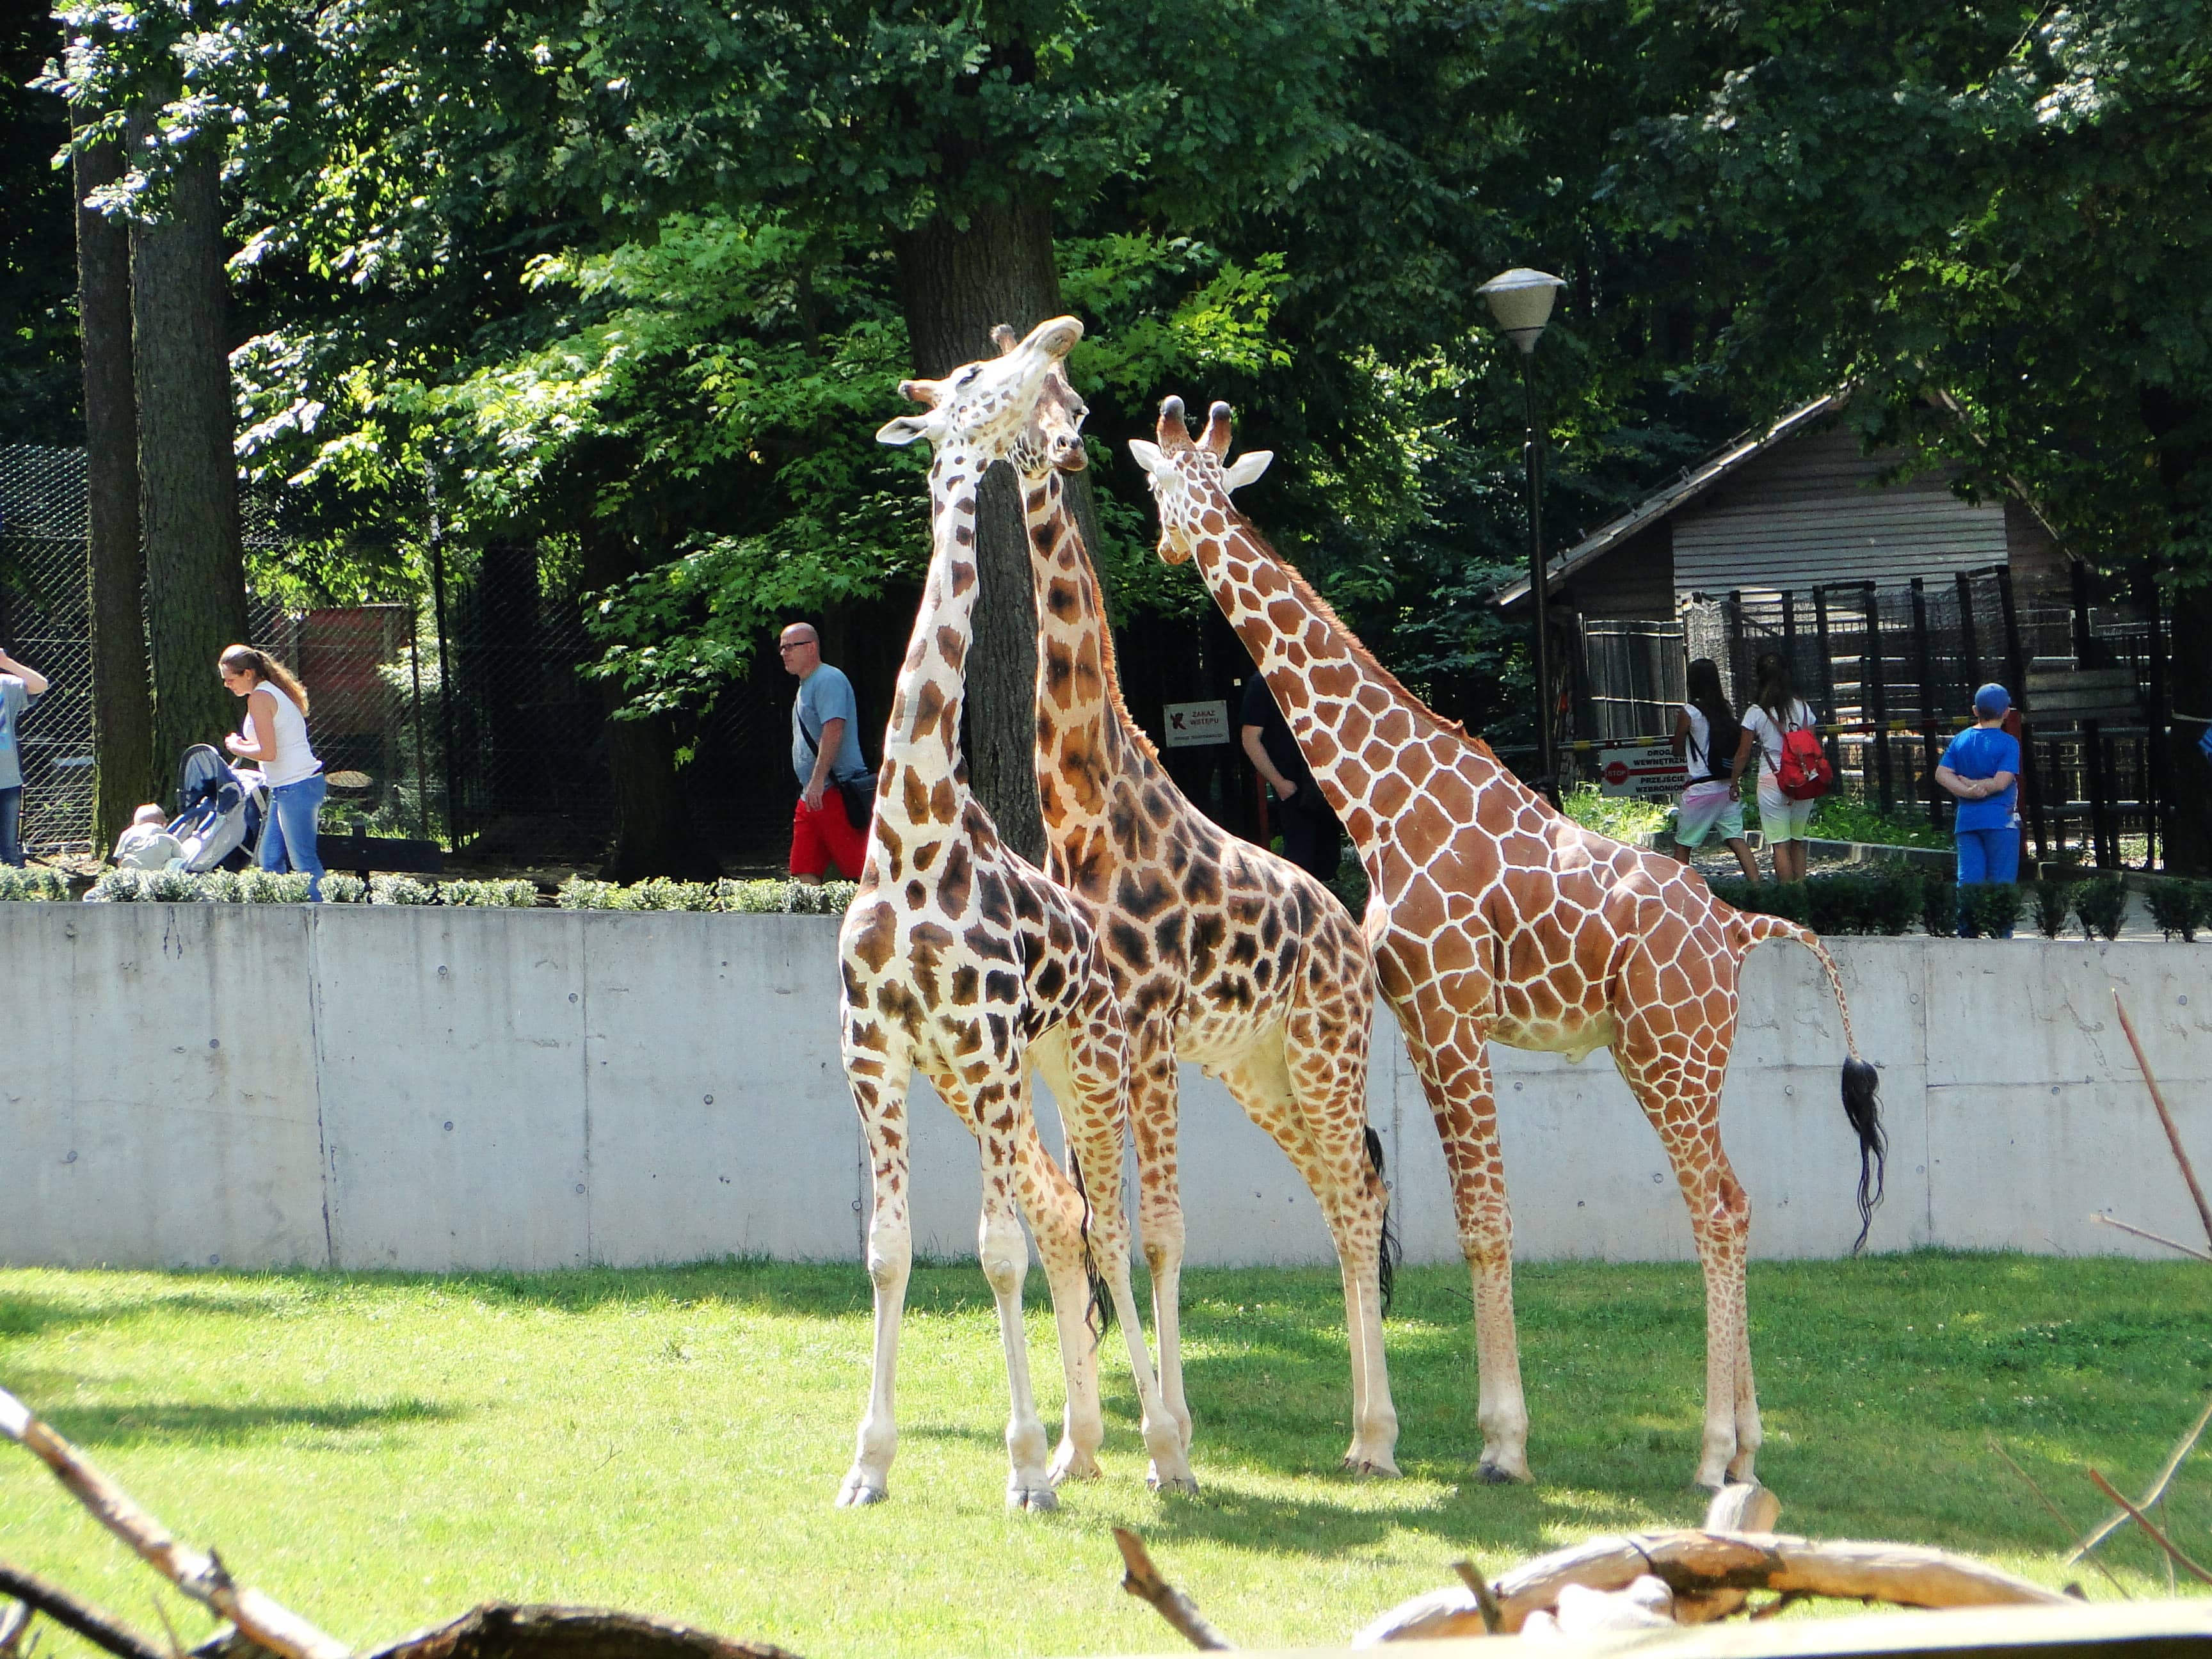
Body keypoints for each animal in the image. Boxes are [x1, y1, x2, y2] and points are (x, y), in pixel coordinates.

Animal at [835, 316, 1190, 1511]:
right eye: (976, 376)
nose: (1059, 331)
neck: (911, 827)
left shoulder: (983, 1045)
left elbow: (996, 1253)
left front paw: (1027, 1465)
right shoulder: (880, 1050)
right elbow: (891, 1250)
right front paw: (869, 1464)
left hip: (1084, 1063)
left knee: (1108, 1229)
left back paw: (1164, 1448)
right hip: (993, 1082)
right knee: (1065, 1217)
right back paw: (1096, 1439)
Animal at [993, 336, 1400, 1482]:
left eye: (1075, 405)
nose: (1062, 452)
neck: (1088, 810)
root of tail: (1350, 936)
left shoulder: (1147, 1035)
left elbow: (1162, 1231)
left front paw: (1166, 1444)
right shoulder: (1086, 1043)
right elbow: (1093, 1220)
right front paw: (1090, 1445)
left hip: (1322, 1051)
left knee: (1358, 1198)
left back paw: (1374, 1438)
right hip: (1260, 1071)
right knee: (1344, 1194)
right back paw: (1365, 1428)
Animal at [1131, 398, 1885, 1490]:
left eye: (1186, 487)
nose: (1167, 542)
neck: (1383, 802)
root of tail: (1741, 926)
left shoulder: (1451, 1014)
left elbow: (1487, 1223)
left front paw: (1502, 1444)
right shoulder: (1420, 1021)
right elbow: (1456, 1215)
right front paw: (1469, 1433)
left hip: (1673, 1053)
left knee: (1720, 1210)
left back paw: (1712, 1456)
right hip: (1663, 1055)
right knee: (1731, 1202)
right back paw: (1745, 1449)